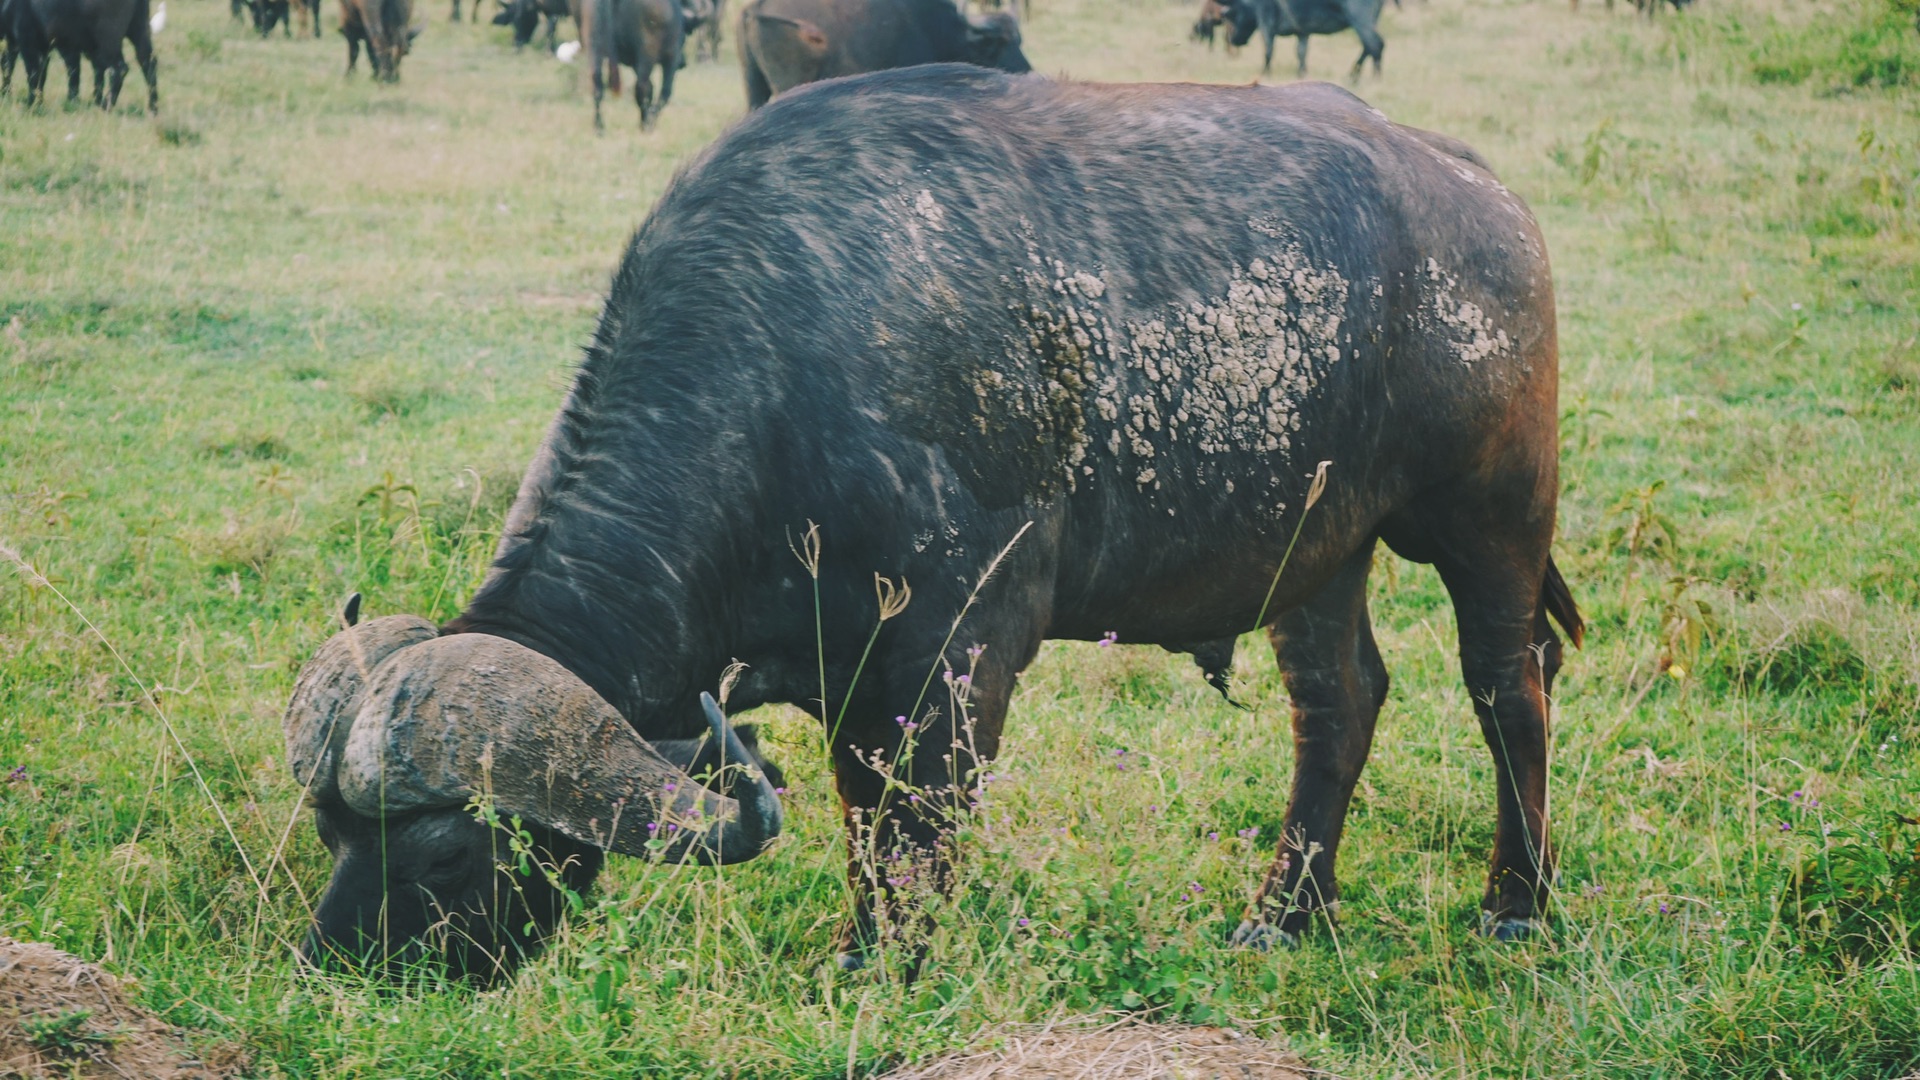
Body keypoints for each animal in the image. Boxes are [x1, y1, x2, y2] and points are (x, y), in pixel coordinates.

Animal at [5, 0, 155, 108]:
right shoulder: (48, 47)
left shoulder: (27, 42)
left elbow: (32, 73)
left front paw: (30, 102)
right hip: (140, 29)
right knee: (147, 62)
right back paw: (153, 108)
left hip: (108, 38)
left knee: (119, 68)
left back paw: (106, 105)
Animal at [284, 67, 1574, 976]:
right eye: (332, 833)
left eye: (446, 848)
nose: (339, 962)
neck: (783, 380)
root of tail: (1478, 191)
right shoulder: (844, 675)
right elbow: (869, 817)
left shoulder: (953, 656)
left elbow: (908, 823)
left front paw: (881, 963)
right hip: (1315, 556)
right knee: (1340, 705)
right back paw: (1284, 915)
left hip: (1491, 520)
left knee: (1509, 686)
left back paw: (1515, 905)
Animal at [568, 0, 683, 130]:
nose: (683, 63)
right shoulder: (671, 57)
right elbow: (665, 92)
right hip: (649, 50)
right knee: (644, 87)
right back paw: (646, 125)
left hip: (592, 42)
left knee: (596, 83)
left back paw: (599, 126)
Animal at [1221, 0, 1390, 80]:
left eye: (1231, 14)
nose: (1234, 40)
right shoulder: (1303, 32)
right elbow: (1301, 53)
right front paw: (1301, 74)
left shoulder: (1265, 24)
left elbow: (1268, 51)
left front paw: (1265, 73)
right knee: (1369, 46)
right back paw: (1354, 76)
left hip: (1361, 21)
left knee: (1375, 44)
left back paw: (1374, 77)